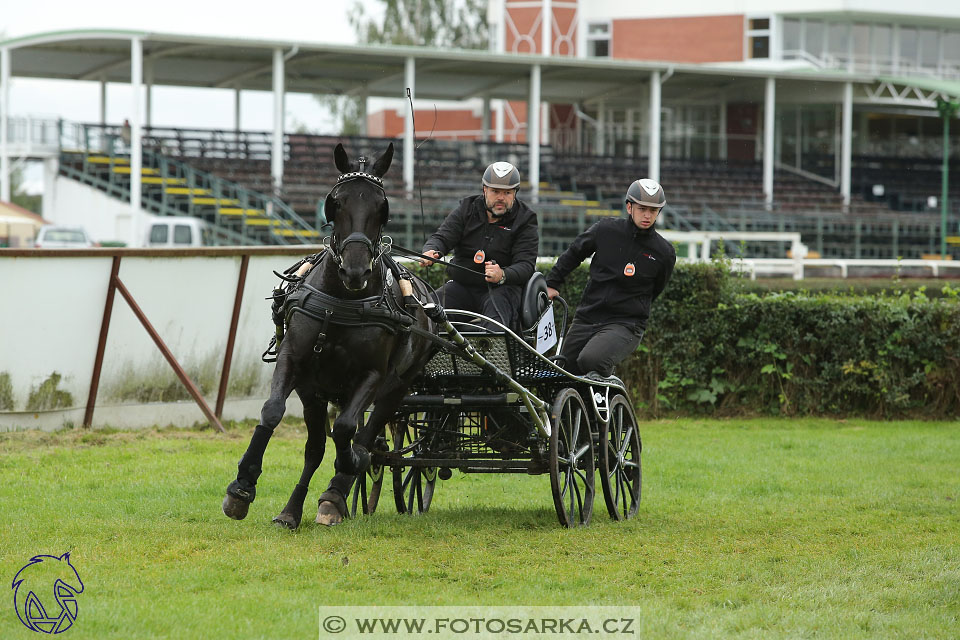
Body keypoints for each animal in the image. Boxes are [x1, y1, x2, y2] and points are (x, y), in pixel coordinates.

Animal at [223, 142, 436, 528]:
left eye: (382, 207)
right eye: (335, 202)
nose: (355, 271)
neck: (342, 303)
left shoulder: (372, 375)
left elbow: (348, 430)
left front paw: (346, 474)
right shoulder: (298, 367)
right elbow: (276, 415)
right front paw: (243, 487)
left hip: (399, 386)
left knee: (366, 431)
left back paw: (340, 489)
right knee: (319, 446)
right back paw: (294, 509)